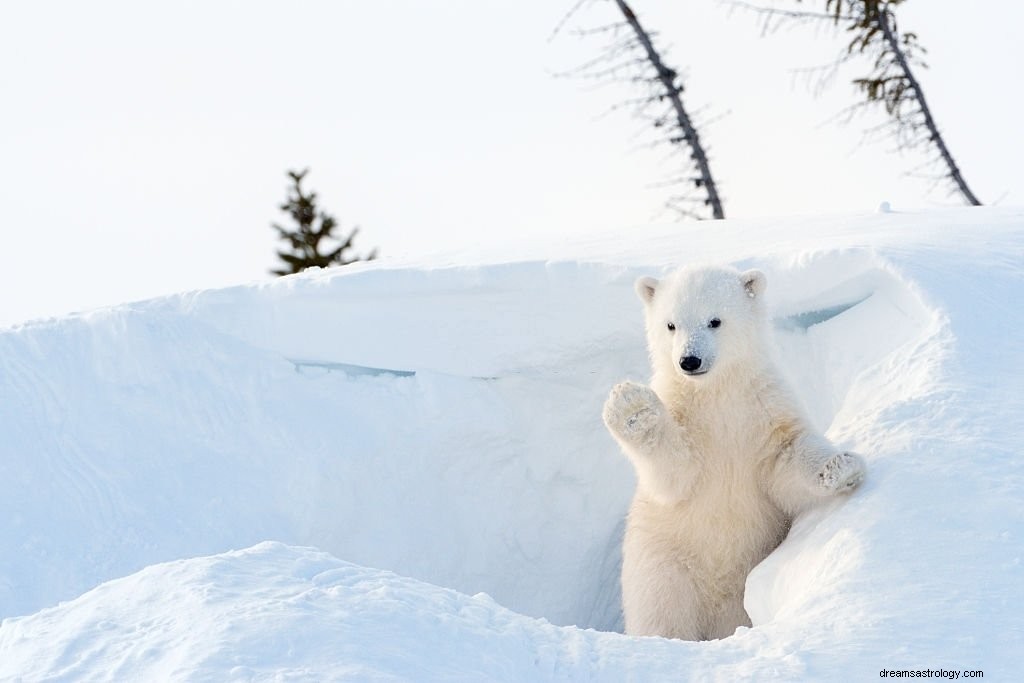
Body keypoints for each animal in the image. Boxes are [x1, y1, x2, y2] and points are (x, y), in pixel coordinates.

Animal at [602, 264, 868, 643]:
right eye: (670, 325)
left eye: (715, 320)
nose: (689, 360)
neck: (716, 393)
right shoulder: (686, 419)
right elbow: (675, 474)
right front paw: (632, 407)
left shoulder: (763, 408)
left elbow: (785, 459)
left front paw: (841, 467)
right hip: (663, 565)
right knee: (662, 614)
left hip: (740, 585)